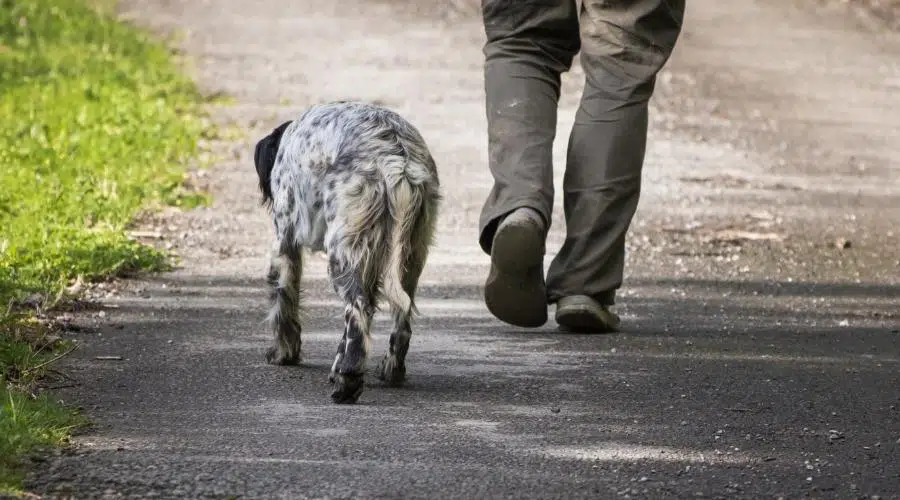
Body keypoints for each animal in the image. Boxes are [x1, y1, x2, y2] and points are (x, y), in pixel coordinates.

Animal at [253, 100, 440, 402]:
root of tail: (397, 160)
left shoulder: (285, 243)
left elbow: (284, 304)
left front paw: (284, 353)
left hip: (342, 254)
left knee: (358, 310)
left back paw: (347, 381)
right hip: (410, 258)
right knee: (400, 322)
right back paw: (390, 370)